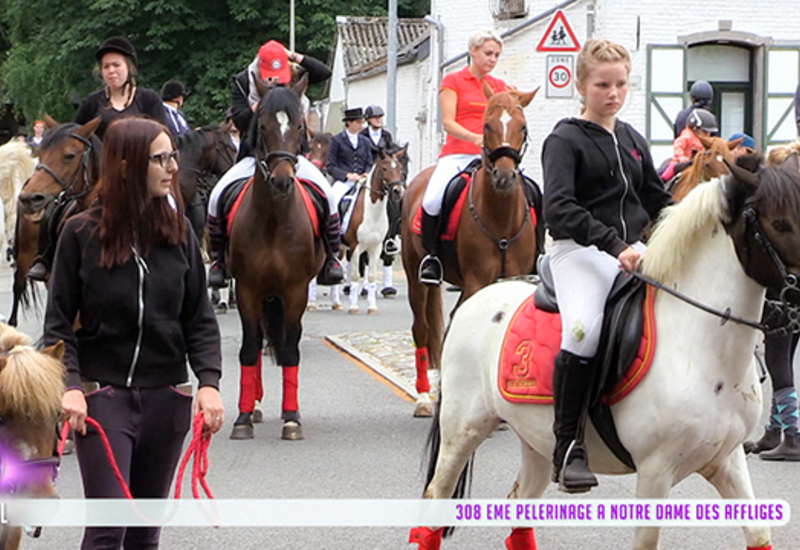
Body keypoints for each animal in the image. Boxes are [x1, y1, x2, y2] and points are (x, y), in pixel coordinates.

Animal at [228, 74, 324, 444]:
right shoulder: (247, 290)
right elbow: (248, 348)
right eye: (264, 125)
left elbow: (290, 350)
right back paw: (253, 406)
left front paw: (292, 418)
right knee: (256, 345)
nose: (282, 181)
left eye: (299, 126)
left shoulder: (295, 291)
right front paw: (242, 418)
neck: (272, 220)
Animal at [400, 86, 544, 416]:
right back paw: (424, 397)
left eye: (523, 127)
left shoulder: (511, 278)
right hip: (416, 278)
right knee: (421, 329)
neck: (500, 216)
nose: (504, 177)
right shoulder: (477, 280)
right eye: (486, 126)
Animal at [412, 162, 800, 548]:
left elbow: (758, 534)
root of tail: (474, 298)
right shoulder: (655, 471)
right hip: (463, 431)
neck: (699, 348)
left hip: (536, 441)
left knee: (518, 504)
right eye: (780, 223)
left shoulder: (727, 460)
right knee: (436, 498)